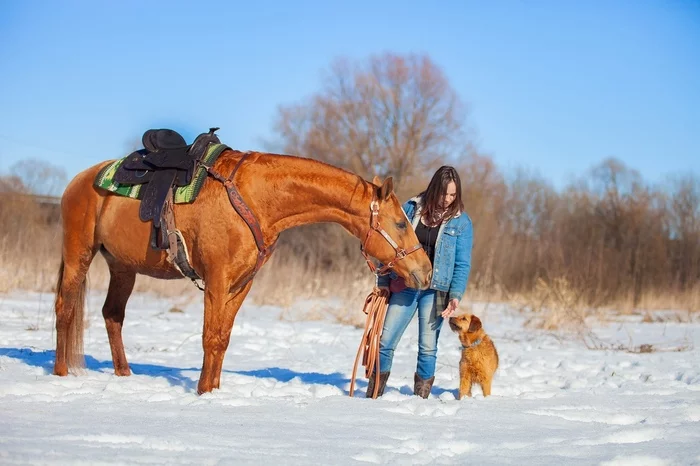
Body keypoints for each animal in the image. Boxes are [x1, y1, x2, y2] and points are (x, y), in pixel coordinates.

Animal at [54, 146, 434, 394]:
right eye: (401, 222)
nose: (426, 271)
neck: (256, 199)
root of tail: (78, 181)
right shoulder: (217, 280)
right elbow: (210, 338)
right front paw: (203, 393)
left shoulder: (241, 285)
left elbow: (222, 339)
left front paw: (213, 392)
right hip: (79, 256)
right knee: (65, 309)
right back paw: (60, 373)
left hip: (122, 268)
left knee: (112, 315)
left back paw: (124, 374)